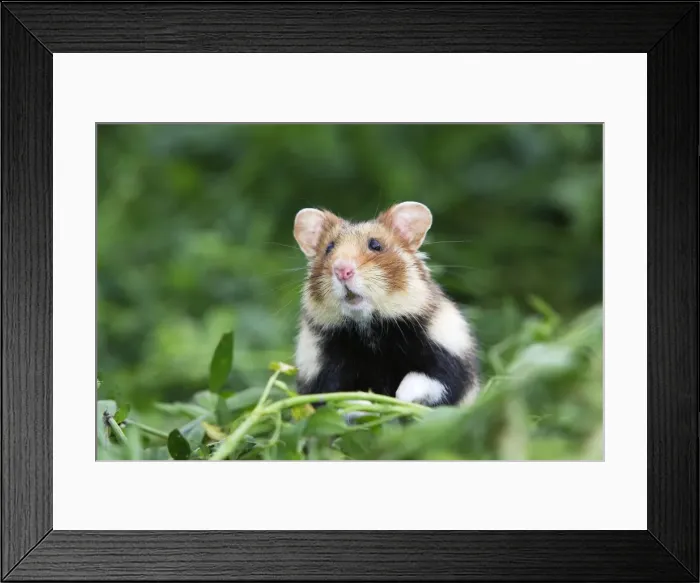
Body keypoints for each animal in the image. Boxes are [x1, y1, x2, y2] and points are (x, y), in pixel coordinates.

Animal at [292, 201, 480, 407]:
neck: (369, 329)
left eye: (376, 245)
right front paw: (366, 403)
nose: (342, 270)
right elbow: (340, 396)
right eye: (329, 248)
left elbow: (425, 380)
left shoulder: (448, 358)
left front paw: (399, 398)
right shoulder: (320, 368)